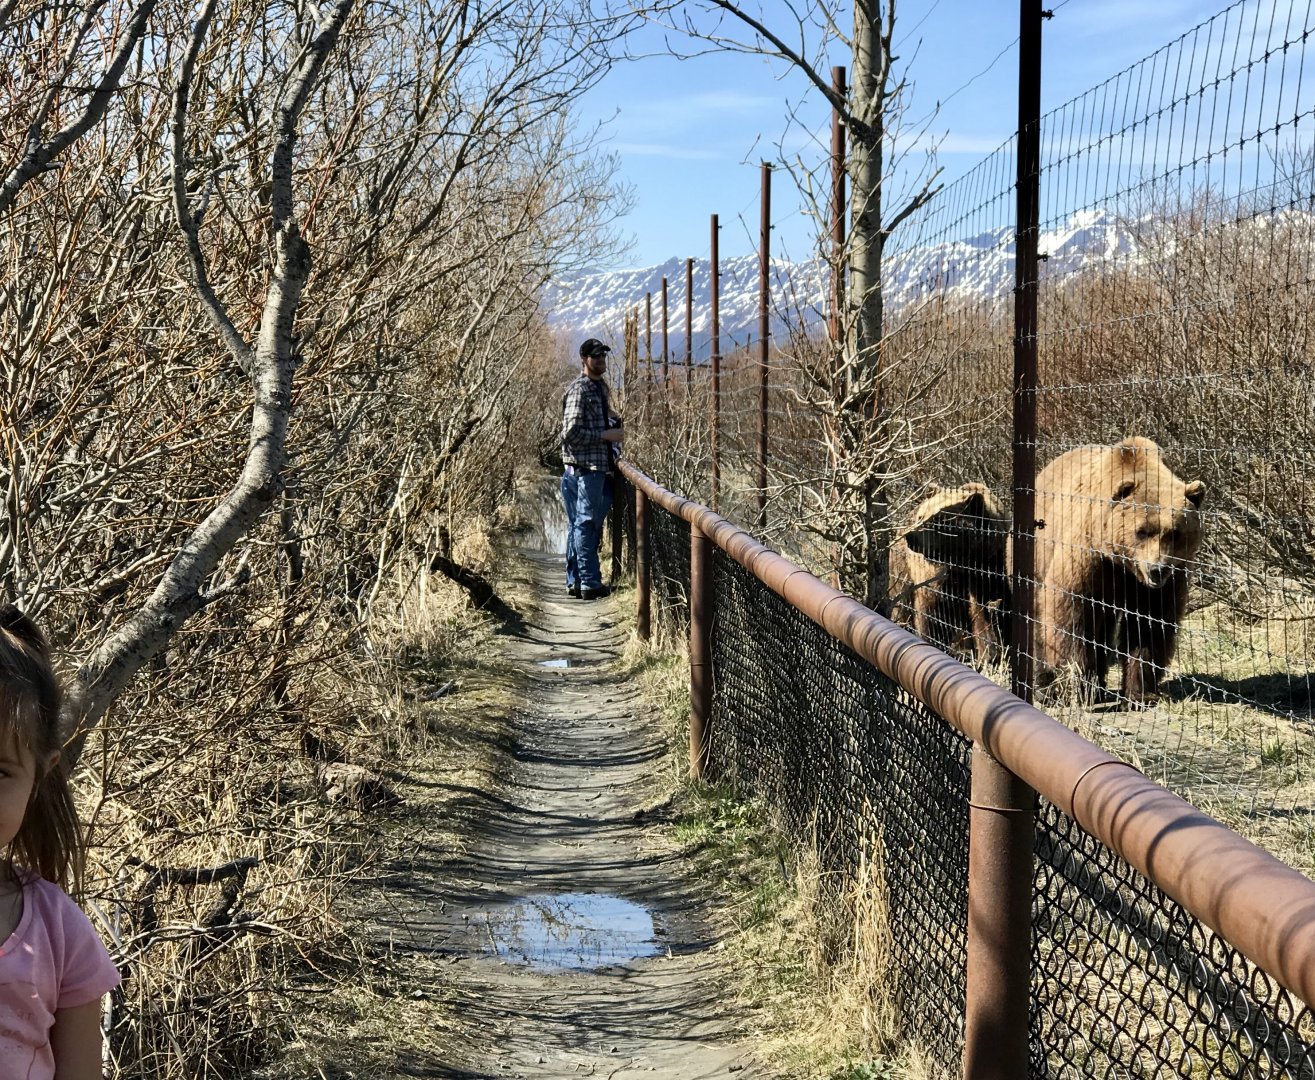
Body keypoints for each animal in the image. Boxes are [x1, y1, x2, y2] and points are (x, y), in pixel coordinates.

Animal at [888, 482, 1011, 663]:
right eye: (922, 517)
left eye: (938, 521)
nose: (911, 536)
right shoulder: (937, 578)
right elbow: (933, 613)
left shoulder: (989, 569)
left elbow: (985, 612)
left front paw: (989, 654)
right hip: (902, 567)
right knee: (903, 601)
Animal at [1032, 436, 1206, 704]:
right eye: (1142, 531)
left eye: (1175, 533)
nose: (1157, 569)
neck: (1122, 562)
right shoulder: (1087, 556)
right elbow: (1070, 610)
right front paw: (1076, 684)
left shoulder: (1164, 580)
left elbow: (1150, 624)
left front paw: (1142, 693)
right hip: (1038, 549)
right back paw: (1046, 687)